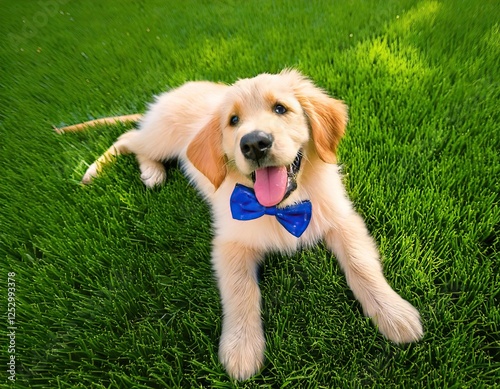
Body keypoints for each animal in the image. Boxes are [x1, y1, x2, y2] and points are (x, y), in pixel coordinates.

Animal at [60, 69, 424, 378]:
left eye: (281, 109)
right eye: (233, 120)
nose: (254, 143)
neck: (281, 207)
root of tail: (172, 93)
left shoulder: (342, 219)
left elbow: (362, 265)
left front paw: (394, 314)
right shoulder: (229, 244)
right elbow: (240, 290)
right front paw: (241, 350)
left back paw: (150, 172)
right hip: (159, 137)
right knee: (126, 138)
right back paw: (102, 171)